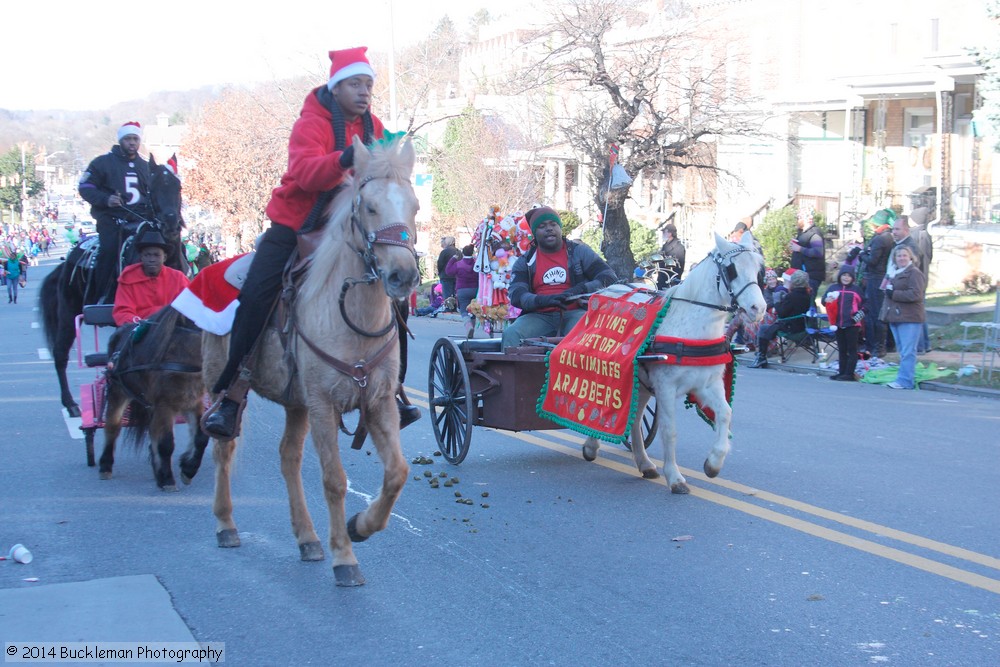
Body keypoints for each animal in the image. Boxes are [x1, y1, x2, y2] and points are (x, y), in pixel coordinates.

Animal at [99, 308, 209, 490]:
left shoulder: (193, 402)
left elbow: (200, 438)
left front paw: (188, 469)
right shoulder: (164, 405)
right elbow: (165, 443)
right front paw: (167, 479)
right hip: (118, 391)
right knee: (112, 427)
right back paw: (105, 465)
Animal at [203, 134, 422, 584]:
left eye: (414, 206)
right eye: (369, 206)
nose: (404, 277)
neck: (352, 317)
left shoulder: (377, 402)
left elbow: (397, 473)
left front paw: (360, 527)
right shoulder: (324, 404)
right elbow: (334, 479)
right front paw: (345, 557)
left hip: (295, 403)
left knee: (288, 458)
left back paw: (307, 537)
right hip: (220, 384)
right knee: (223, 449)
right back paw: (226, 523)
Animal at [580, 232, 764, 494]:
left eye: (758, 268)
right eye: (731, 270)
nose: (759, 308)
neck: (691, 329)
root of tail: (609, 288)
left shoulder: (707, 384)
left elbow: (725, 414)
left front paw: (713, 463)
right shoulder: (666, 387)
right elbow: (670, 431)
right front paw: (675, 477)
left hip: (641, 385)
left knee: (635, 419)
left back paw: (644, 463)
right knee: (598, 405)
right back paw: (591, 445)